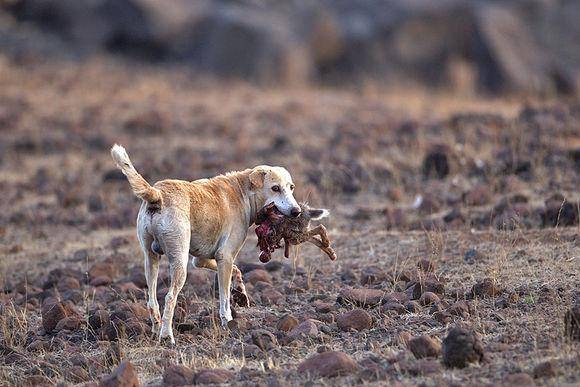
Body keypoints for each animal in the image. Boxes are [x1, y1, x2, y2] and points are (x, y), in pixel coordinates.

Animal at [110, 144, 300, 344]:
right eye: (275, 188)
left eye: (291, 187)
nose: (297, 211)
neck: (243, 192)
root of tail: (158, 194)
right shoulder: (225, 257)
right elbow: (224, 299)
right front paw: (228, 322)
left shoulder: (202, 260)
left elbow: (237, 270)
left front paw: (240, 293)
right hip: (179, 263)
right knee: (169, 297)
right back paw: (167, 335)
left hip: (150, 259)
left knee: (152, 300)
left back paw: (156, 328)